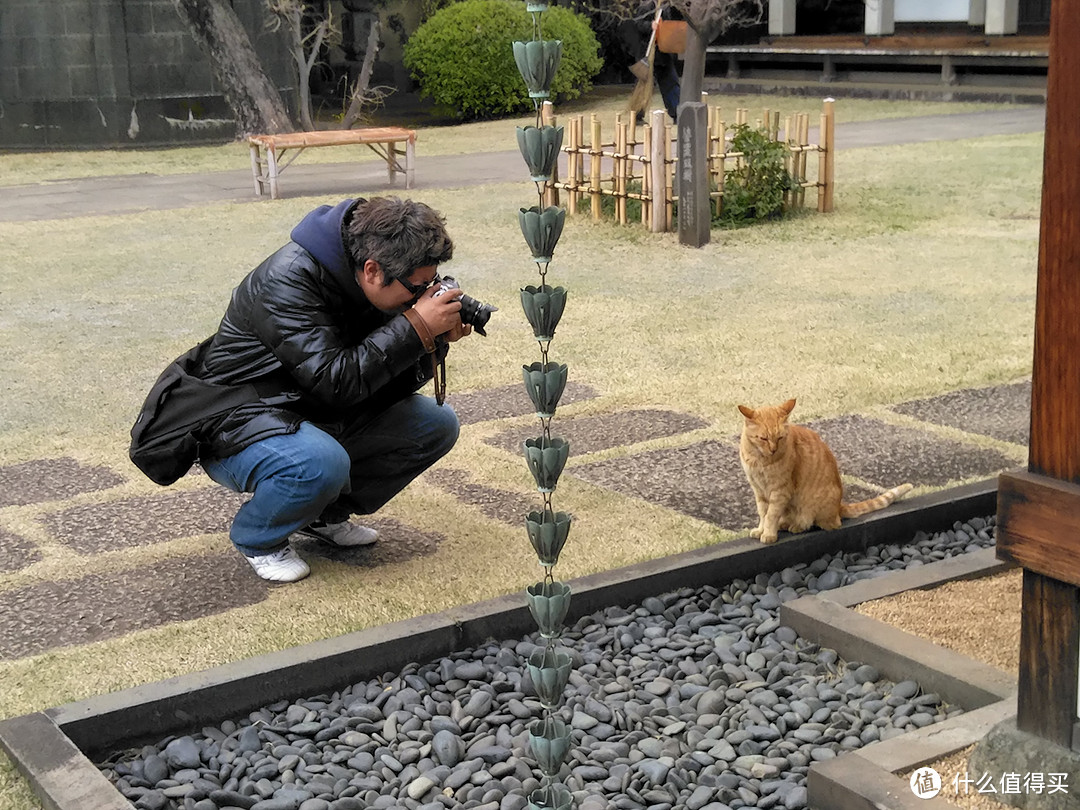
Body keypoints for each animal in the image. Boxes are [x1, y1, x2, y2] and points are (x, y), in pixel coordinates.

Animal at [738, 399, 907, 546]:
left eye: (779, 438)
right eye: (763, 438)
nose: (773, 450)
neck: (759, 460)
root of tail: (839, 507)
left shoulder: (780, 491)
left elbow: (771, 515)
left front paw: (768, 534)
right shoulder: (759, 490)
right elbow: (763, 513)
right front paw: (760, 530)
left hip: (813, 506)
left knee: (825, 523)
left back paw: (797, 526)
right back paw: (785, 524)